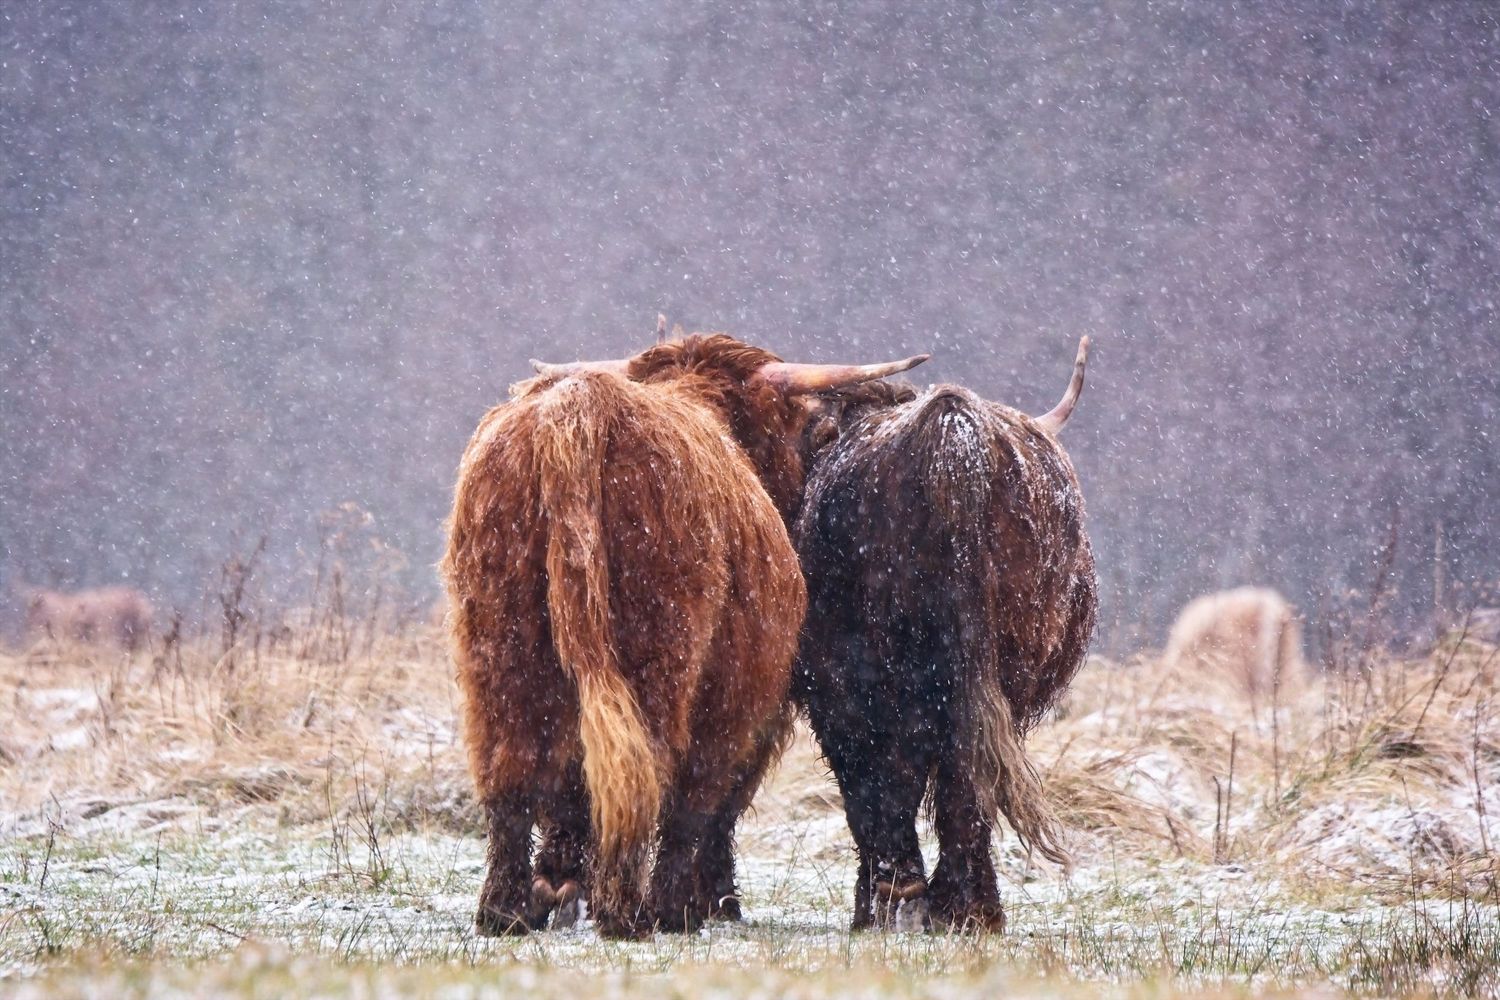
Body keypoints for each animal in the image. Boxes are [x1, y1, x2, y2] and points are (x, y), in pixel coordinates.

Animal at [442, 332, 927, 939]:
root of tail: (581, 409)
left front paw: (559, 887)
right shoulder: (738, 703)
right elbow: (698, 803)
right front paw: (681, 908)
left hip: (497, 648)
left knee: (511, 769)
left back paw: (505, 910)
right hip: (660, 655)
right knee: (646, 770)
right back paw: (629, 912)